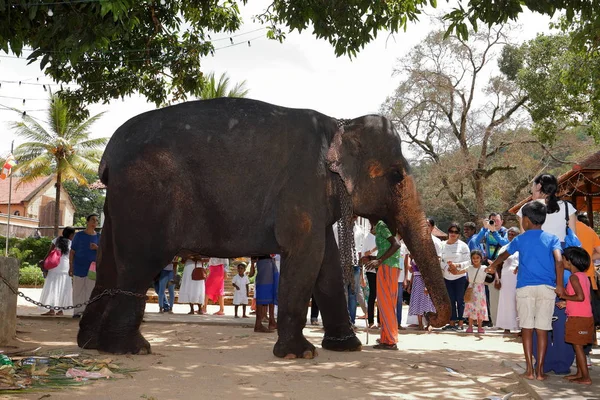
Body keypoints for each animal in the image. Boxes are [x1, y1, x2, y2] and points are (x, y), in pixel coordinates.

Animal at [78, 98, 450, 358]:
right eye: (397, 176)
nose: (430, 317)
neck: (340, 124)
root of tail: (108, 155)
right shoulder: (303, 187)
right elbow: (307, 256)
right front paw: (299, 354)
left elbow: (326, 264)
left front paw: (347, 347)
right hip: (146, 196)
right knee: (140, 264)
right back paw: (129, 348)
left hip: (118, 203)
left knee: (110, 262)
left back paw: (90, 343)